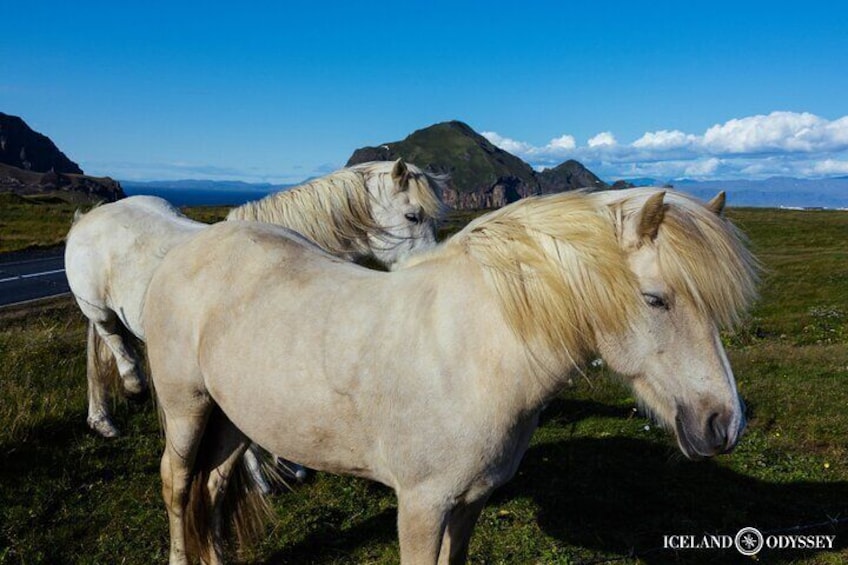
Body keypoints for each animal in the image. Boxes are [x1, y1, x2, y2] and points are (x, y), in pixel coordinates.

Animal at [66, 158, 448, 436]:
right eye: (412, 216)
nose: (428, 272)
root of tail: (90, 217)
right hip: (99, 310)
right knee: (112, 339)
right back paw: (129, 389)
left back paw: (101, 417)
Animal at [142, 187, 760, 560]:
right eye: (656, 300)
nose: (723, 425)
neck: (473, 354)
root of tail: (191, 247)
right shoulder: (421, 506)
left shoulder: (469, 502)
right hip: (187, 406)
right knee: (178, 483)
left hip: (233, 416)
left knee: (214, 485)